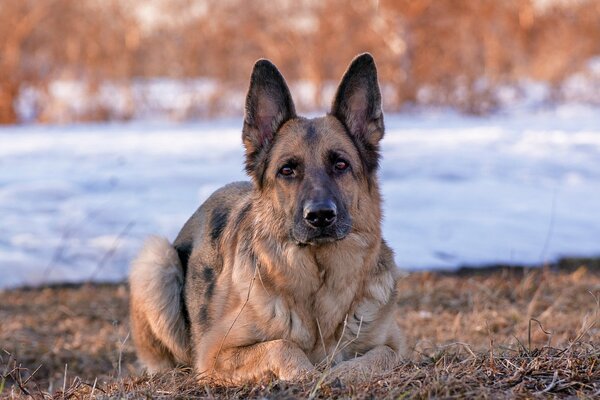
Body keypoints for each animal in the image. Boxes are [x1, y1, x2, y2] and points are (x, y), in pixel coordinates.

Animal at [129, 53, 406, 384]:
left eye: (341, 165)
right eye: (287, 170)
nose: (320, 216)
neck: (319, 281)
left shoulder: (396, 346)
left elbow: (383, 355)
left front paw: (342, 373)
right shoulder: (214, 355)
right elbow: (281, 346)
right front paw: (307, 374)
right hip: (156, 260)